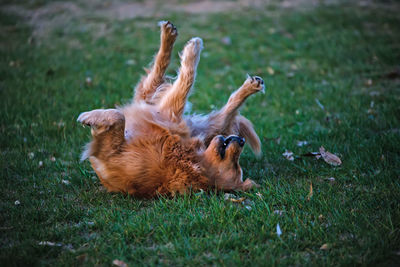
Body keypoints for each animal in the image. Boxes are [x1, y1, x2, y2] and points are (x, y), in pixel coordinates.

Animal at [78, 21, 266, 199]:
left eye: (236, 166)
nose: (241, 140)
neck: (184, 162)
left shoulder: (163, 114)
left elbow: (118, 117)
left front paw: (89, 118)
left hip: (163, 106)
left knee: (172, 79)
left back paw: (185, 44)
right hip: (192, 120)